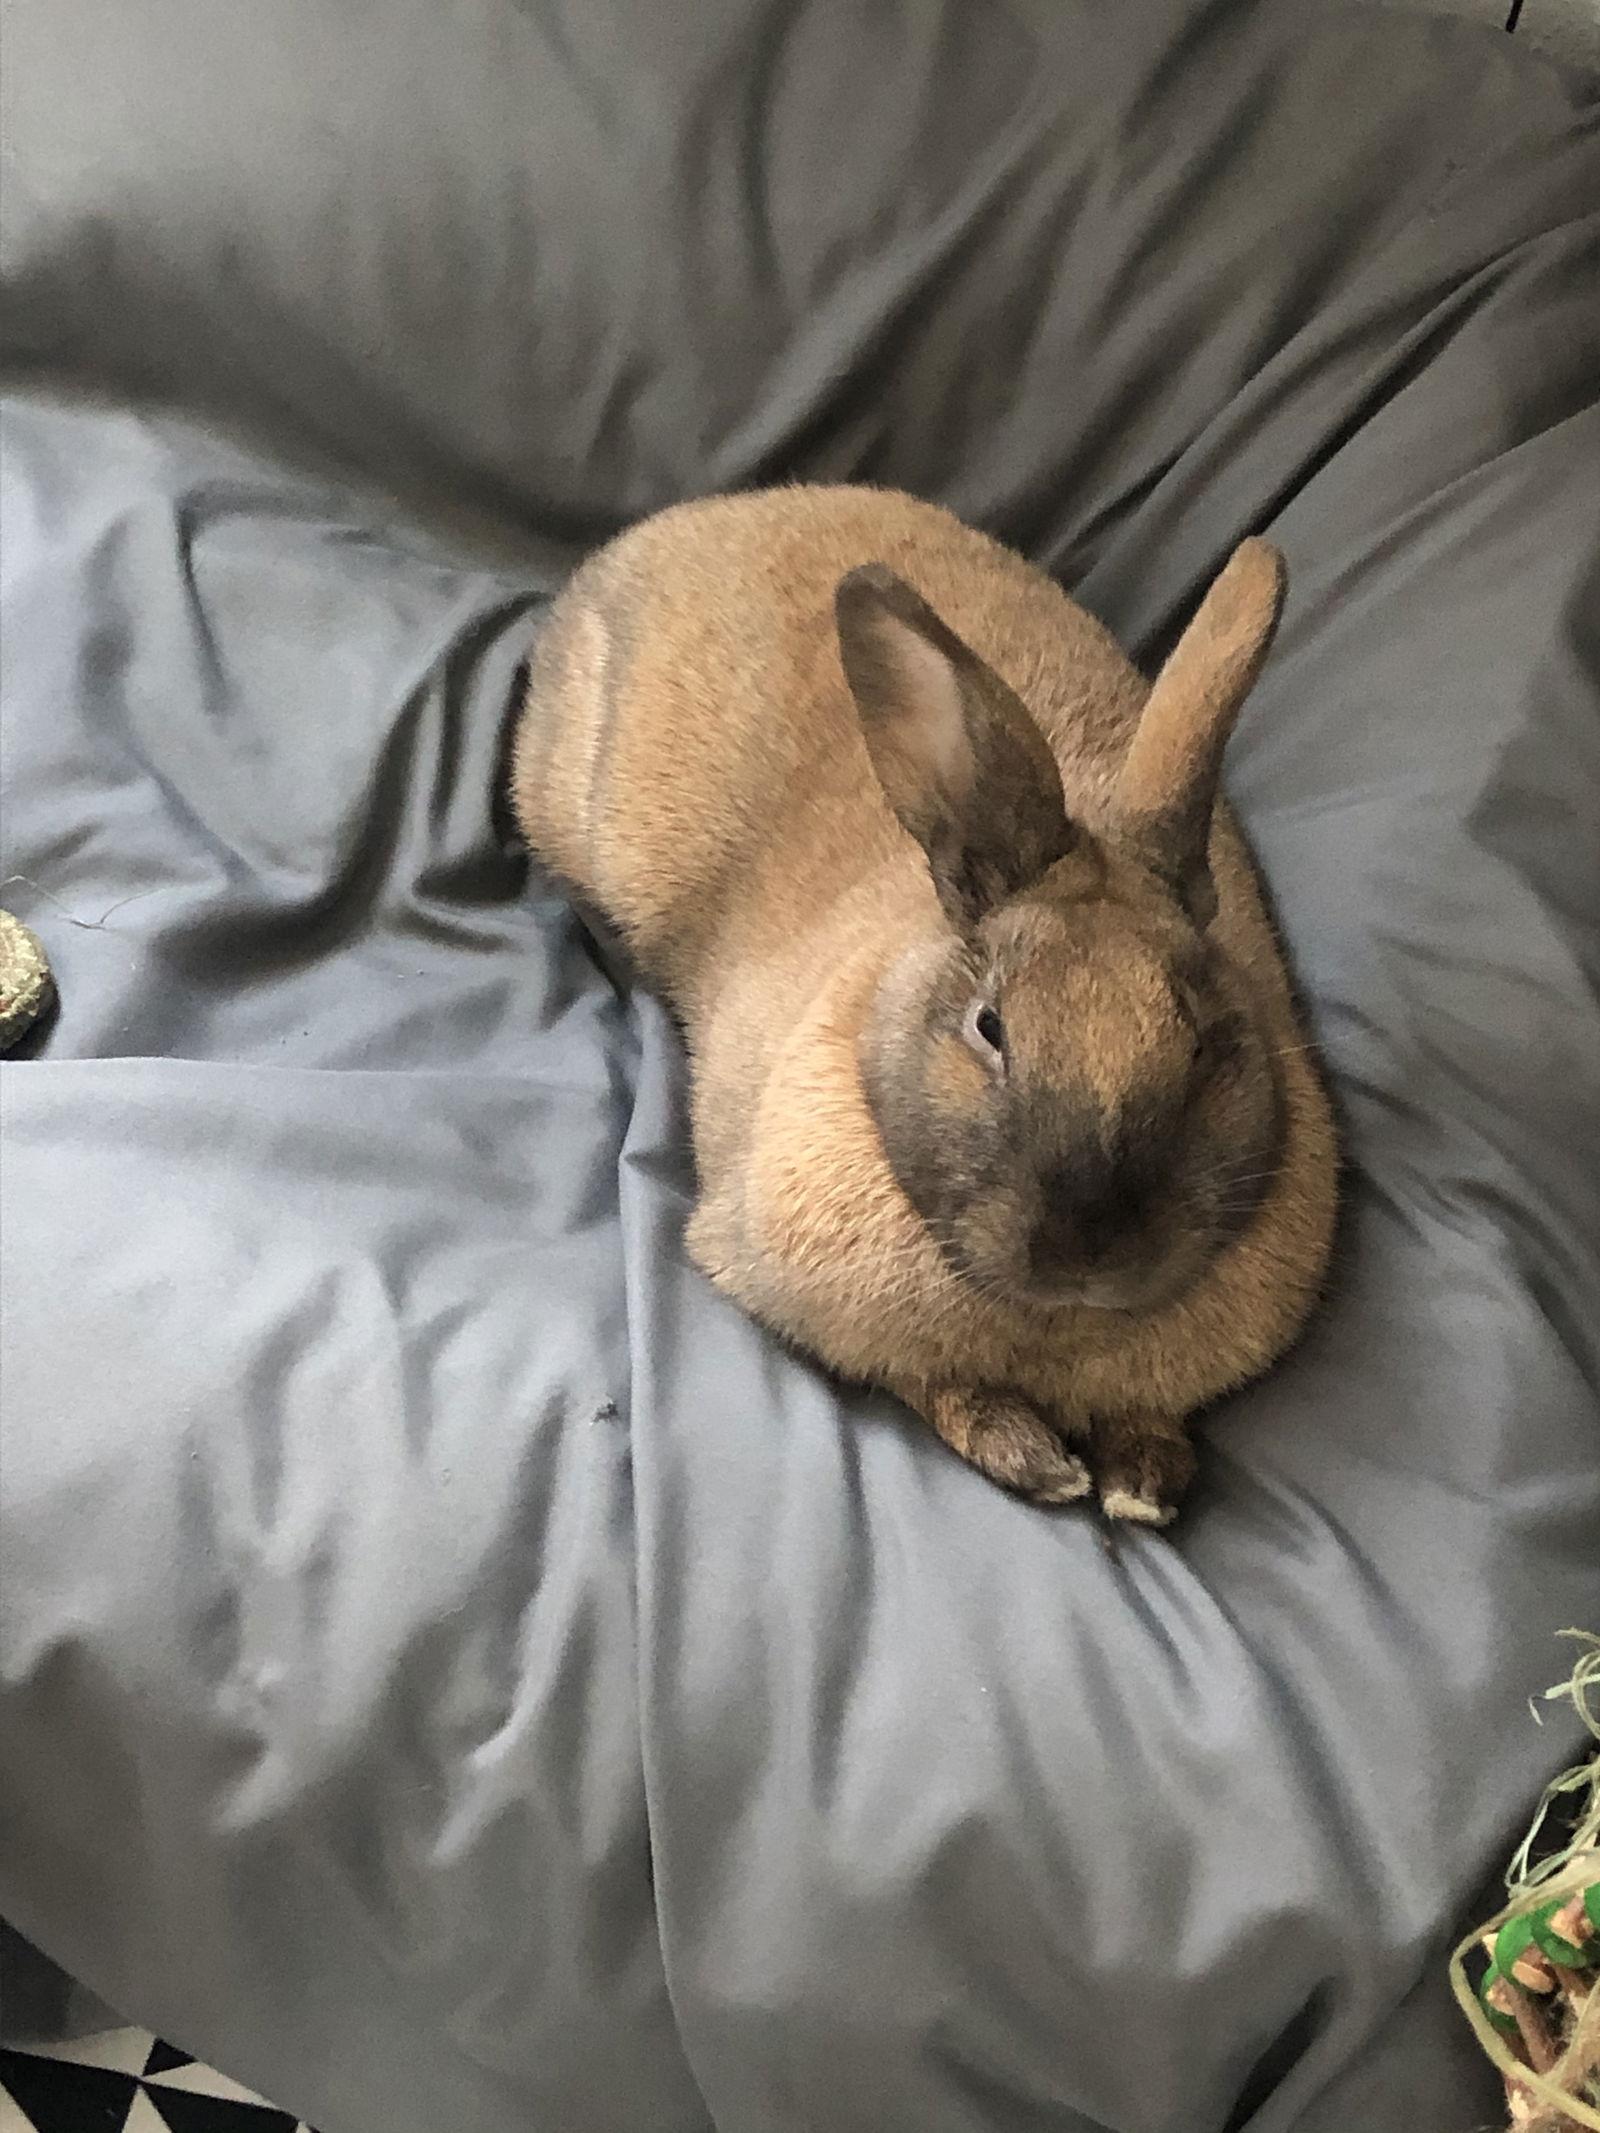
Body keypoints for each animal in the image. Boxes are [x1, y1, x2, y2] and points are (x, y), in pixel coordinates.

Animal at [512, 485, 1337, 1522]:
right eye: (990, 1027)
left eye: (1202, 1041)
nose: (1090, 1250)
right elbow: (925, 1382)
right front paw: (1038, 1459)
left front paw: (1143, 1482)